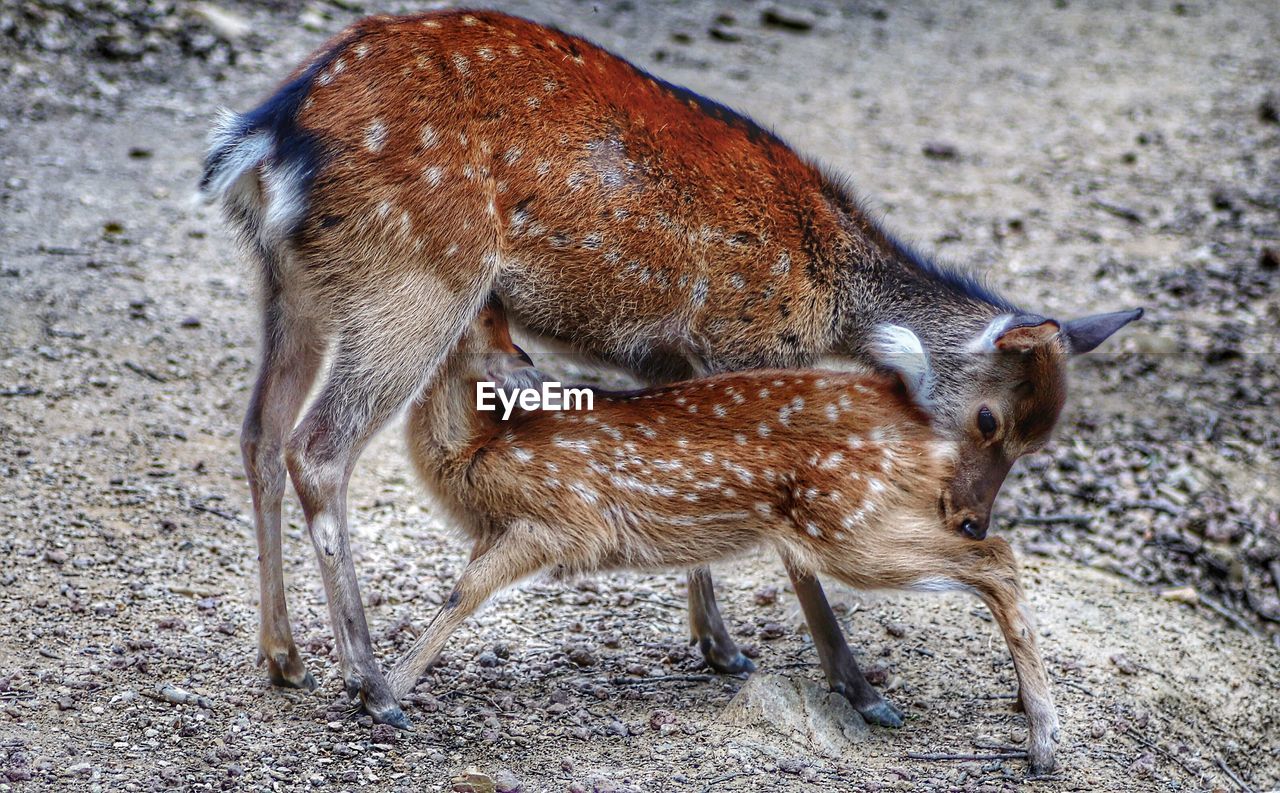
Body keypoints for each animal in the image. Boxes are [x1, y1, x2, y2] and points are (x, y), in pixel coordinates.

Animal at [199, 9, 1141, 731]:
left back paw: (283, 656)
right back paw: (370, 680)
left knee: (258, 433)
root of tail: (266, 139)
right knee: (318, 448)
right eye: (990, 420)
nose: (970, 517)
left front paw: (718, 644)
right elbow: (785, 532)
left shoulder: (678, 357)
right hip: (414, 278)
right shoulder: (741, 336)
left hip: (292, 284)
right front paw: (858, 686)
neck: (830, 287)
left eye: (1037, 440)